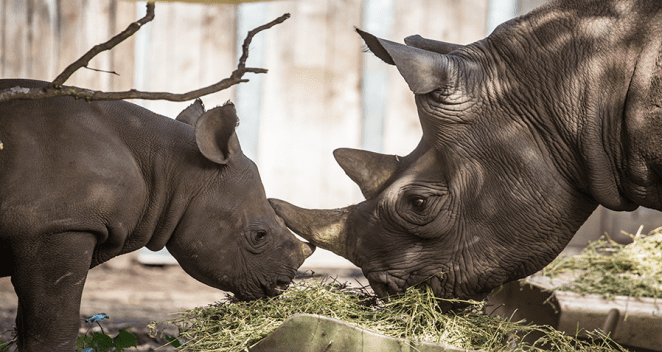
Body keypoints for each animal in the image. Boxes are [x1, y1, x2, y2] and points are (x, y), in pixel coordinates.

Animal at [0, 78, 316, 350]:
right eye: (259, 235)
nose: (282, 284)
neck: (174, 168)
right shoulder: (59, 226)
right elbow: (54, 329)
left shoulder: (46, 229)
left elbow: (27, 326)